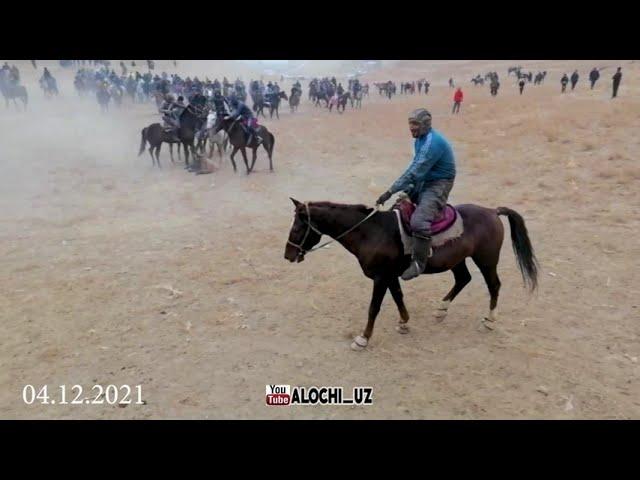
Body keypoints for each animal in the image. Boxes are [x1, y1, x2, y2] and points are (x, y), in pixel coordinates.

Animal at [282, 201, 536, 350]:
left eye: (297, 228)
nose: (288, 255)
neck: (371, 231)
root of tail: (493, 211)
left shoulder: (381, 278)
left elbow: (374, 308)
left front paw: (363, 338)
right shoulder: (390, 277)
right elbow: (398, 297)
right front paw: (404, 322)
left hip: (486, 260)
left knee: (494, 285)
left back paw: (489, 321)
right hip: (458, 260)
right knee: (463, 279)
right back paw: (441, 309)